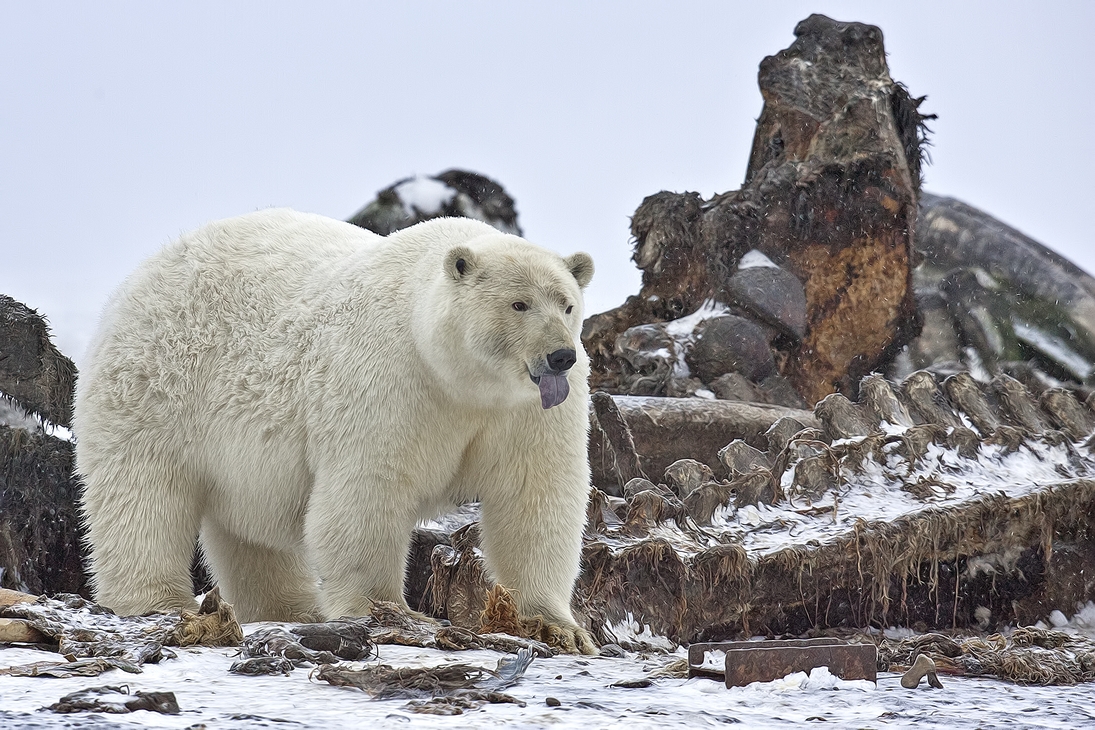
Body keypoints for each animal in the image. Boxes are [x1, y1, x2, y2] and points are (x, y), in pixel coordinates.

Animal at [75, 207, 600, 652]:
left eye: (566, 305)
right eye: (519, 304)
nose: (560, 355)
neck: (461, 379)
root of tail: (142, 274)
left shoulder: (528, 413)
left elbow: (534, 497)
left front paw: (559, 627)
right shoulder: (391, 378)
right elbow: (368, 490)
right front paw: (386, 611)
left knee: (248, 533)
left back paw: (292, 608)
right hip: (157, 387)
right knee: (144, 497)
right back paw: (159, 600)